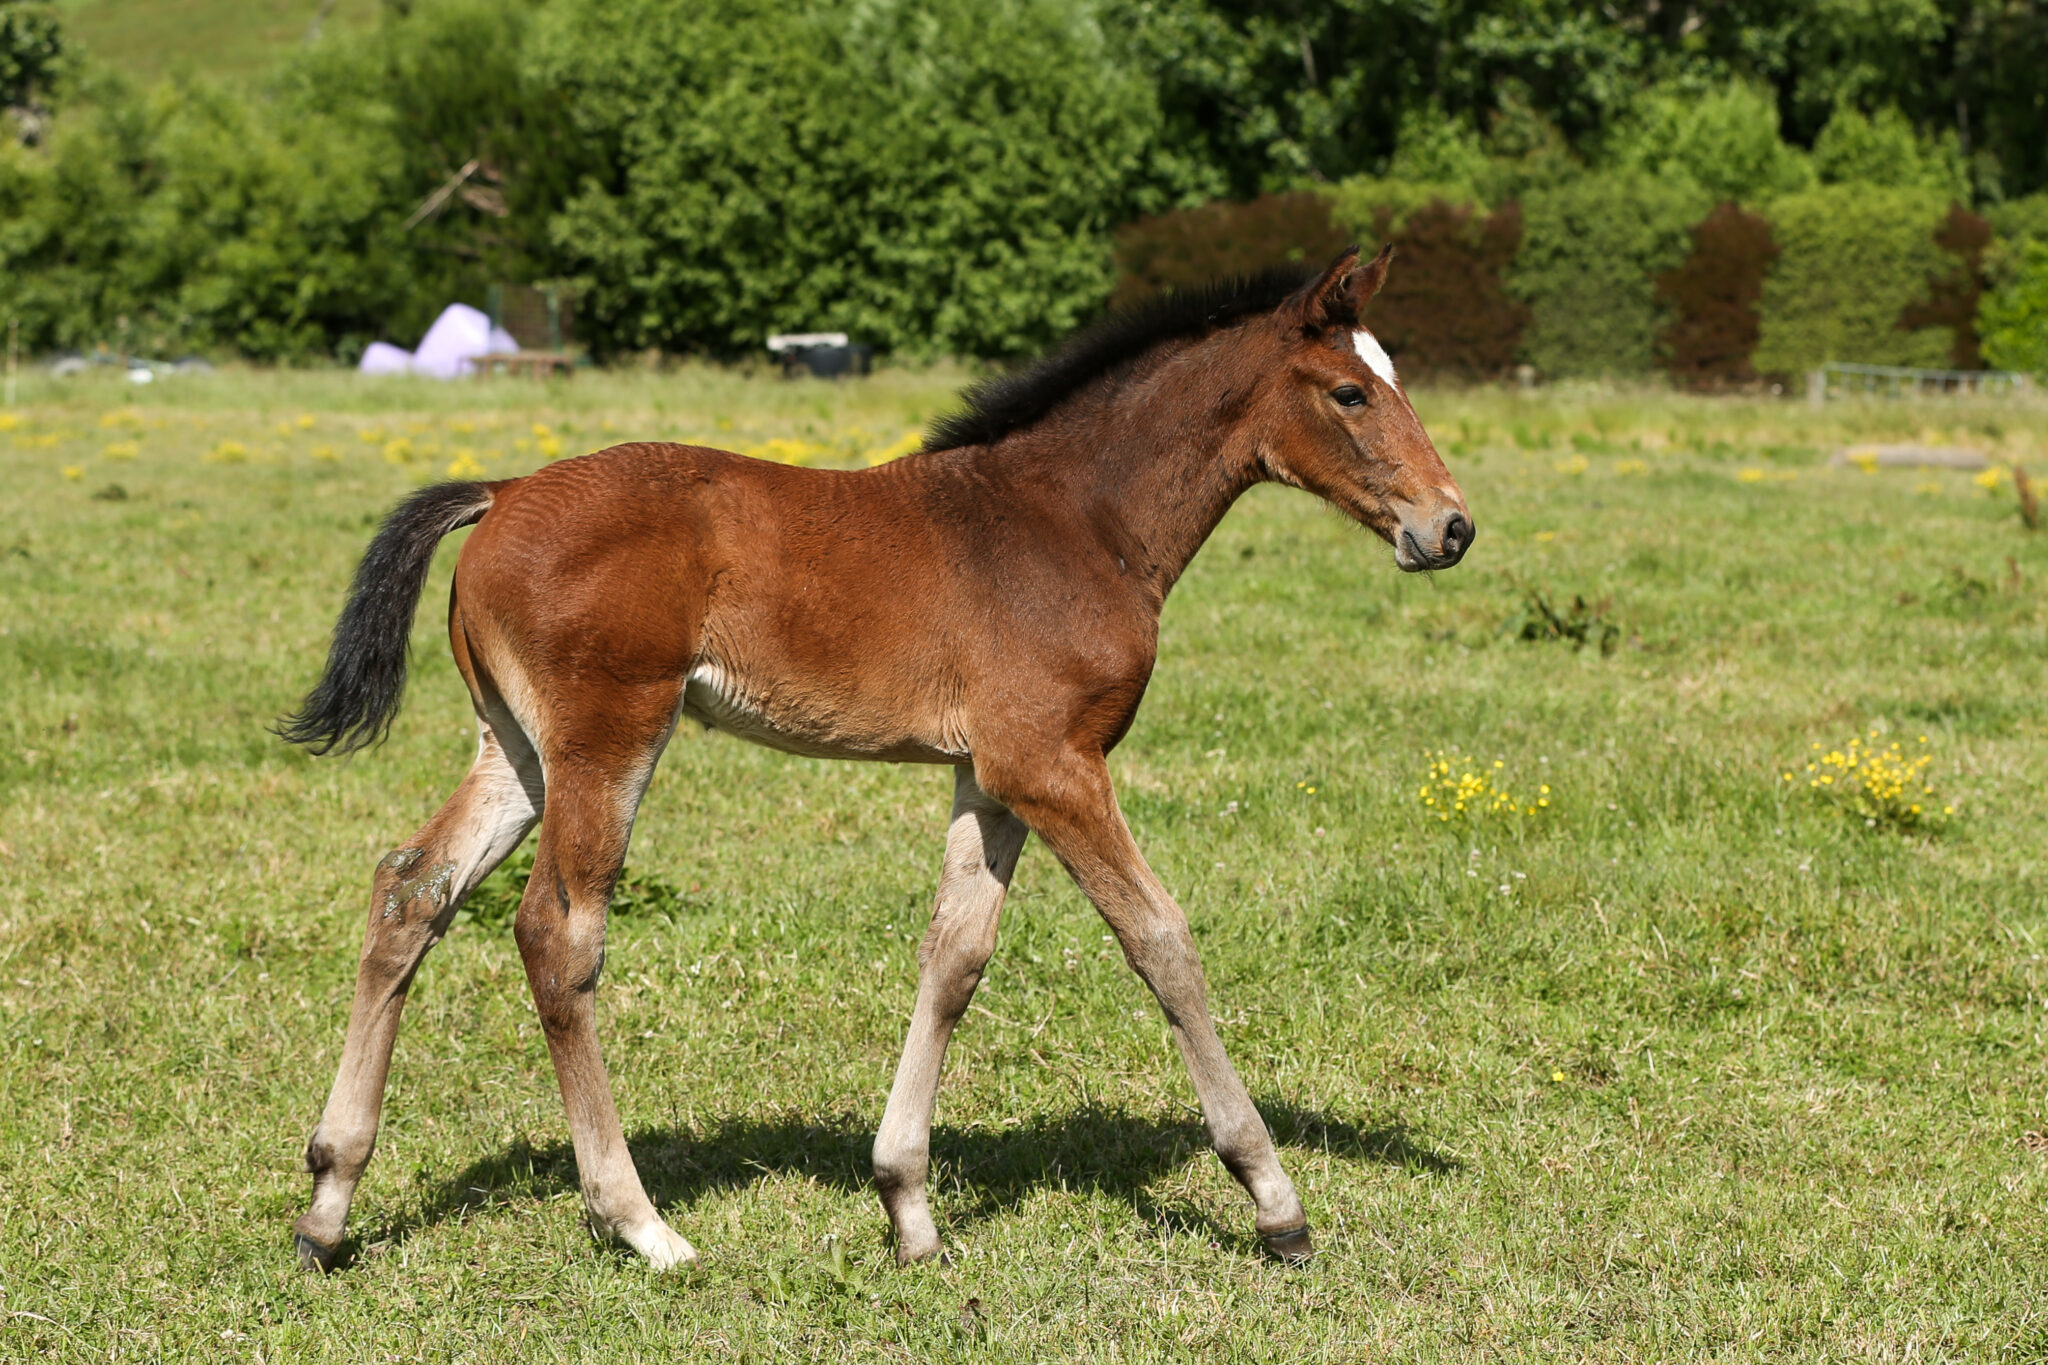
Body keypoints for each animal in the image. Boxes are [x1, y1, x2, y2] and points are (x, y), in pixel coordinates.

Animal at [284, 242, 1474, 1268]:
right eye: (1351, 392)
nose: (1450, 528)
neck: (1075, 520)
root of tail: (503, 493)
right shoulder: (1055, 764)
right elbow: (1161, 940)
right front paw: (1273, 1200)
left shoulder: (990, 775)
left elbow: (954, 956)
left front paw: (907, 1206)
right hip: (606, 739)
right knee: (554, 934)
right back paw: (638, 1222)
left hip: (517, 750)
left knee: (411, 889)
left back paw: (328, 1204)